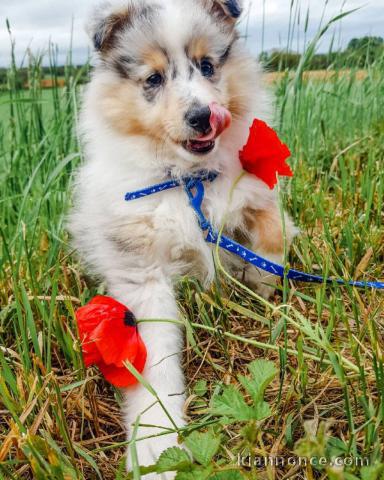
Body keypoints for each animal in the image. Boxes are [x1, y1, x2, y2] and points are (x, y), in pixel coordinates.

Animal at [69, 0, 296, 472]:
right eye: (153, 79)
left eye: (207, 66)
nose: (202, 116)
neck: (187, 179)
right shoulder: (142, 271)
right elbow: (154, 358)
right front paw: (156, 445)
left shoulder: (254, 192)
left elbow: (272, 233)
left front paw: (260, 283)